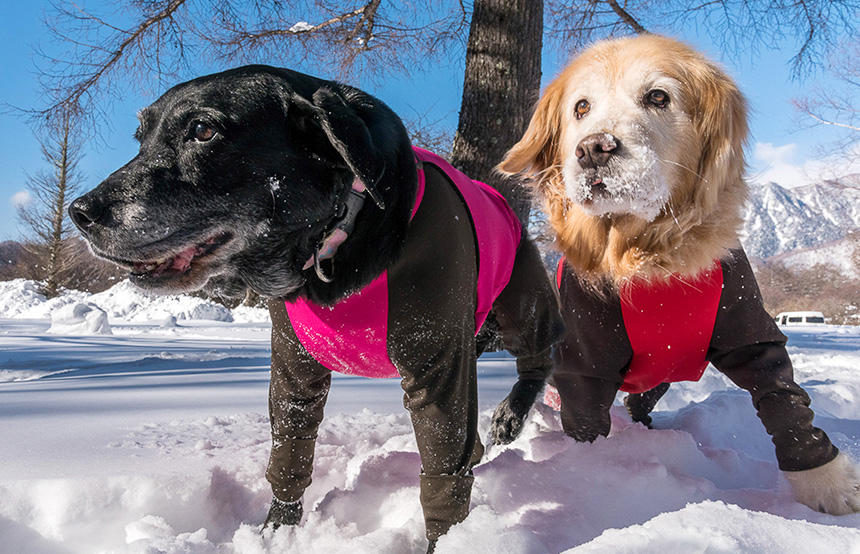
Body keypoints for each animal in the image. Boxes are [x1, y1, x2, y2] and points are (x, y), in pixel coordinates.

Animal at [70, 67, 560, 544]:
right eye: (141, 138)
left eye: (203, 130)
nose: (81, 213)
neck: (338, 242)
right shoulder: (294, 367)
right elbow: (289, 452)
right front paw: (275, 533)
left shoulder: (437, 371)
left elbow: (444, 471)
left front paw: (448, 540)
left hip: (521, 306)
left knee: (541, 356)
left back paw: (510, 416)